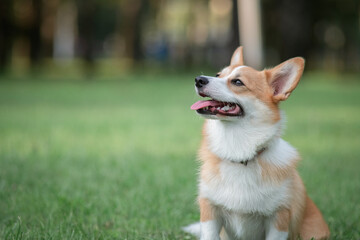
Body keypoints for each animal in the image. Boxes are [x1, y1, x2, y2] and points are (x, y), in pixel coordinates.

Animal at [184, 46, 330, 239]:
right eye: (218, 75)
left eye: (238, 82)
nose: (199, 79)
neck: (238, 153)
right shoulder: (210, 211)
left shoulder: (279, 218)